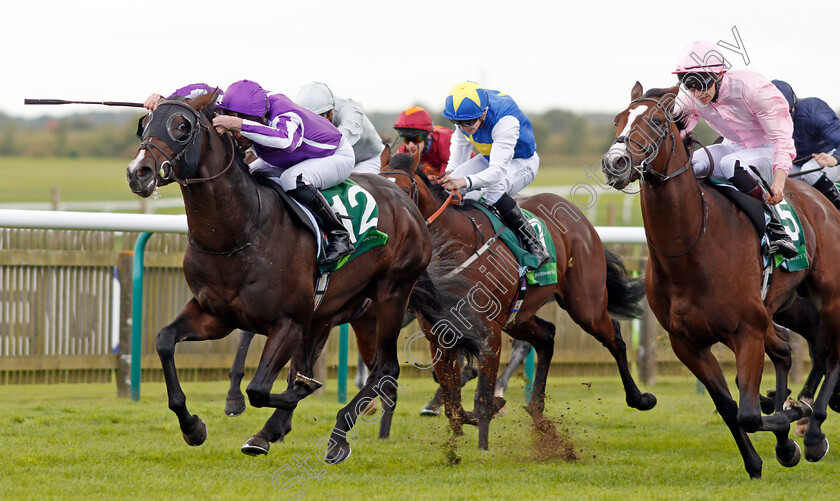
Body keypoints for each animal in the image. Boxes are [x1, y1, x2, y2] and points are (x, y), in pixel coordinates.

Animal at [380, 150, 656, 448]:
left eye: (404, 191)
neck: (456, 245)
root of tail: (579, 219)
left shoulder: (489, 332)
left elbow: (480, 397)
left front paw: (482, 443)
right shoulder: (439, 334)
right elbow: (453, 401)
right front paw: (455, 442)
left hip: (585, 304)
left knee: (614, 336)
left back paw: (640, 398)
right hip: (518, 316)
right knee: (547, 336)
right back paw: (538, 415)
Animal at [600, 82, 836, 476]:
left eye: (657, 120)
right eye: (618, 119)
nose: (615, 162)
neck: (691, 250)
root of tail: (819, 197)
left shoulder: (747, 331)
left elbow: (749, 413)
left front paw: (789, 420)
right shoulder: (688, 343)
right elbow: (730, 407)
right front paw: (761, 456)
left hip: (827, 296)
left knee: (830, 350)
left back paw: (813, 428)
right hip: (786, 304)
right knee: (788, 348)